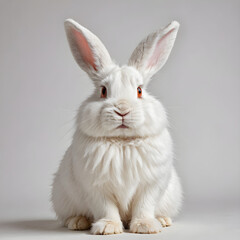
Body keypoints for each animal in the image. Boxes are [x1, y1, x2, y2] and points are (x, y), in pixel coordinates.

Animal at [51, 18, 182, 234]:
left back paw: (163, 220)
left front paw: (146, 226)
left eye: (139, 90)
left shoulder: (151, 186)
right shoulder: (96, 187)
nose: (122, 110)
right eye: (103, 91)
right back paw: (77, 222)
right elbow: (106, 208)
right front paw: (108, 228)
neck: (122, 142)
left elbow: (144, 206)